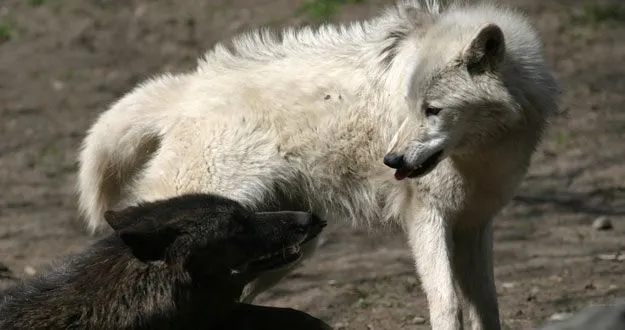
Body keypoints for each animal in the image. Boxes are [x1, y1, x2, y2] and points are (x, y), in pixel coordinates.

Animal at [75, 1, 560, 328]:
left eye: (433, 110)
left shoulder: (473, 224)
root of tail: (184, 89)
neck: (482, 151)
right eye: (408, 107)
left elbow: (487, 307)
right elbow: (447, 304)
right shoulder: (426, 218)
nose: (392, 160)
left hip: (287, 249)